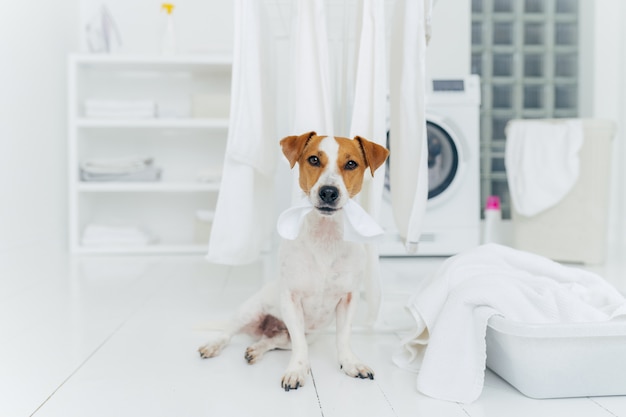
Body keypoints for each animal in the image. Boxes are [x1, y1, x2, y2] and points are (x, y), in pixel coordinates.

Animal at [197, 131, 388, 390]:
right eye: (314, 159)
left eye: (351, 164)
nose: (329, 192)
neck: (325, 236)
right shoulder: (291, 299)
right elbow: (300, 346)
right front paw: (297, 370)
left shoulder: (348, 299)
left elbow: (343, 337)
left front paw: (350, 363)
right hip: (249, 311)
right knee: (228, 332)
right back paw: (213, 345)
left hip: (304, 333)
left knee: (273, 340)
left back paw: (255, 349)